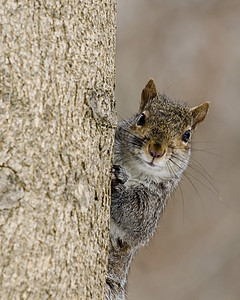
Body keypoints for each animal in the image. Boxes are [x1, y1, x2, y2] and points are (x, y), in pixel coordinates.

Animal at [106, 79, 209, 300]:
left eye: (187, 135)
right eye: (141, 118)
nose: (156, 150)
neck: (134, 169)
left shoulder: (152, 206)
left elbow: (135, 218)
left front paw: (117, 184)